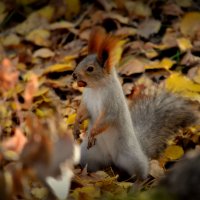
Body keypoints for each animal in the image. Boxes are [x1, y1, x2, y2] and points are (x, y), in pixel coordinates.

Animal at [71, 27, 197, 180]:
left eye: (90, 68)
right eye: (81, 61)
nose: (74, 75)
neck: (96, 89)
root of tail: (111, 159)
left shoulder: (112, 103)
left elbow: (106, 118)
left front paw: (92, 132)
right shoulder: (87, 100)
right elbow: (82, 112)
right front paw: (76, 126)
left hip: (130, 157)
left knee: (141, 171)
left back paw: (138, 183)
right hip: (89, 154)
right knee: (89, 165)